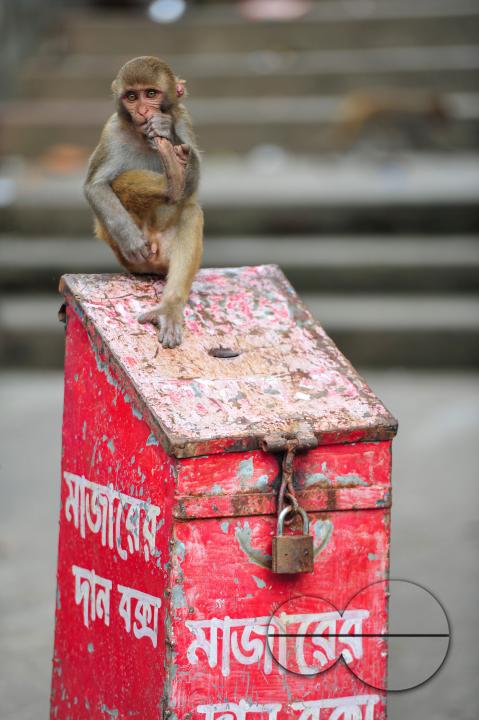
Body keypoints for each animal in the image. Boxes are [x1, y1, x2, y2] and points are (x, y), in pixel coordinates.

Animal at [84, 56, 203, 348]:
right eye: (131, 96)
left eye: (150, 94)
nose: (141, 110)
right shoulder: (112, 131)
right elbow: (95, 186)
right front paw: (131, 240)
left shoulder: (184, 119)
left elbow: (192, 185)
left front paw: (164, 128)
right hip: (131, 261)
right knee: (120, 182)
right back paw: (170, 181)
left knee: (190, 210)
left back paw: (170, 306)